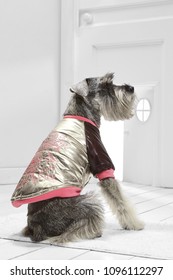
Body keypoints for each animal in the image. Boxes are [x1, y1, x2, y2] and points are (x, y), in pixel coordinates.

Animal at [10, 73, 143, 244]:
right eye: (105, 85)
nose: (131, 88)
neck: (81, 115)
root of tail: (36, 226)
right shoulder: (102, 162)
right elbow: (121, 201)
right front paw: (135, 224)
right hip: (89, 202)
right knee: (68, 233)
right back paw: (94, 232)